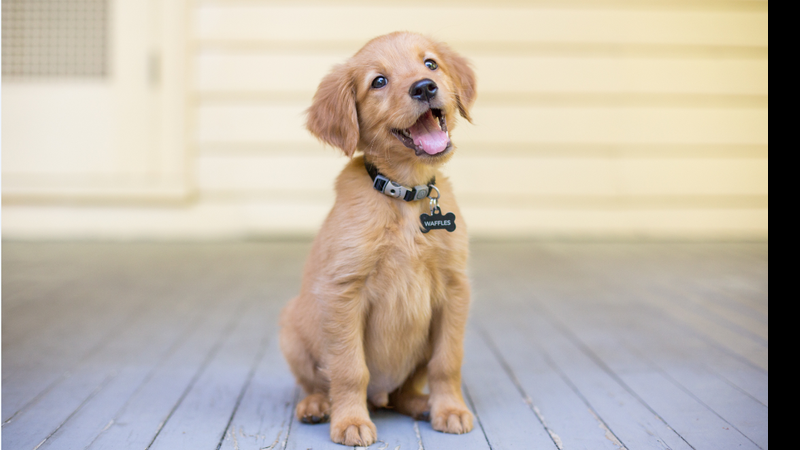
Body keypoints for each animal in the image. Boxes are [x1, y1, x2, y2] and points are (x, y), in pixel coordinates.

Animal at [280, 31, 476, 446]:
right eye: (379, 81)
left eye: (430, 64)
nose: (424, 87)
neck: (405, 196)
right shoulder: (343, 291)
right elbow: (349, 368)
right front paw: (350, 422)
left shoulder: (455, 288)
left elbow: (447, 361)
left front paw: (449, 409)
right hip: (291, 326)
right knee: (317, 384)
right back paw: (317, 406)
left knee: (401, 393)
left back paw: (420, 404)